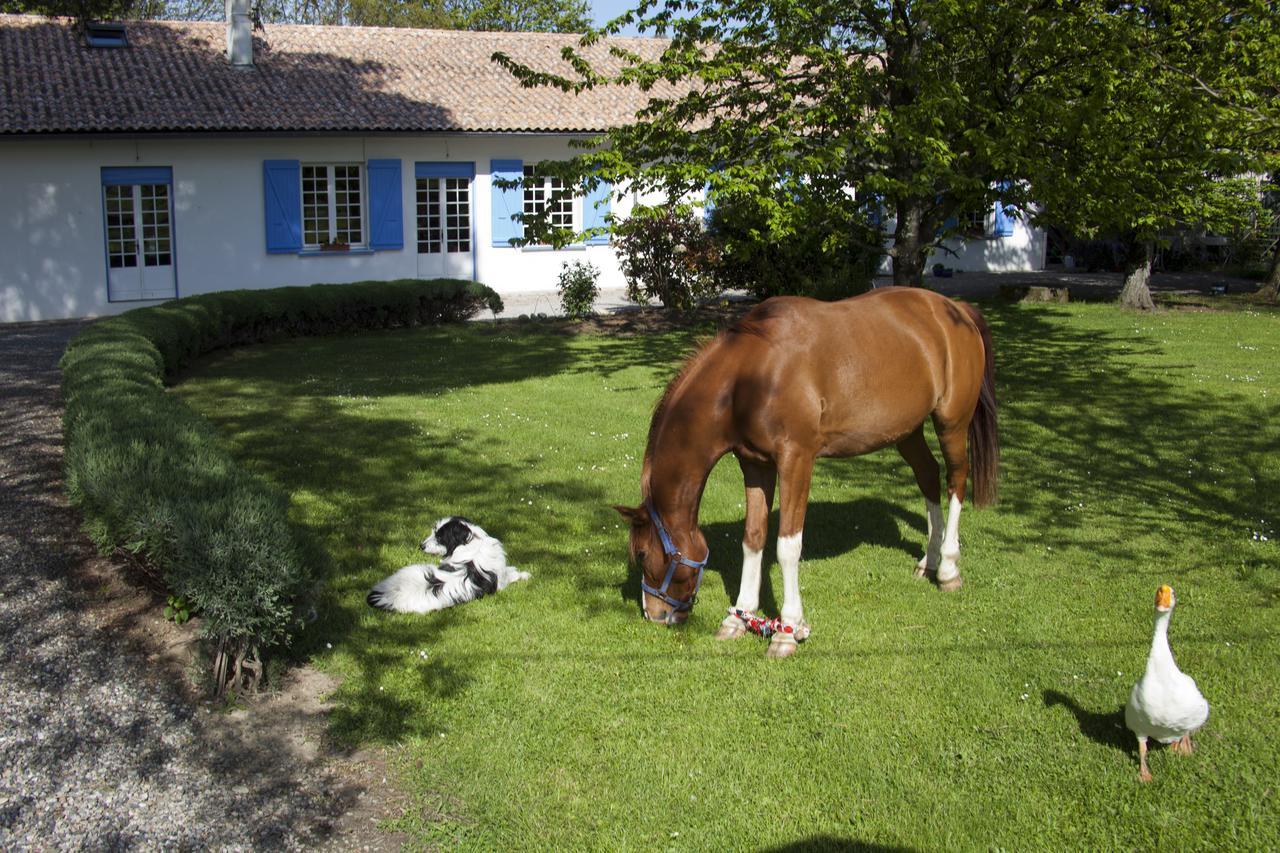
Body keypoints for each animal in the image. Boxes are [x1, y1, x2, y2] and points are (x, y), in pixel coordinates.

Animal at [368, 512, 527, 612]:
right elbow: (511, 573)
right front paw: (523, 574)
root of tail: (384, 595)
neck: (471, 542)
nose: (421, 546)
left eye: (439, 537)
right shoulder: (500, 581)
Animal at [611, 286, 998, 655]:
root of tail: (956, 309)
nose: (654, 614)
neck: (749, 377)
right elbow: (752, 539)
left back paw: (947, 568)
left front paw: (787, 631)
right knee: (928, 476)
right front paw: (738, 618)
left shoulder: (796, 461)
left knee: (956, 480)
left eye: (642, 554)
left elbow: (787, 546)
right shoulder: (755, 464)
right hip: (907, 431)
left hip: (951, 423)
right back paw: (928, 560)